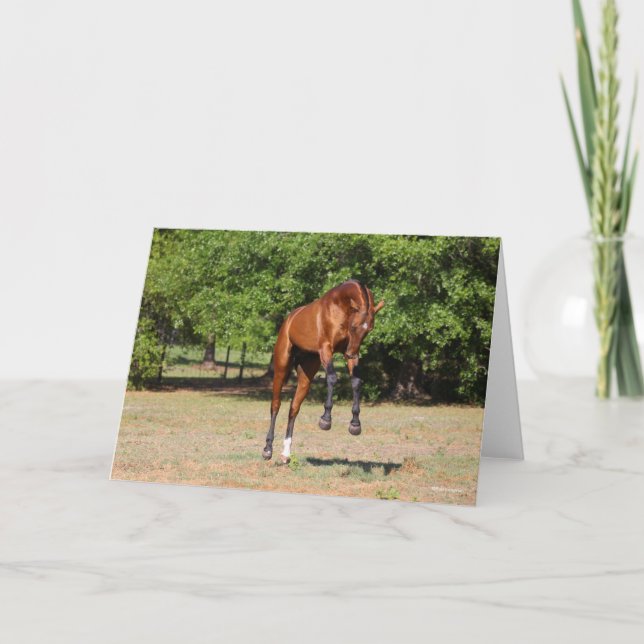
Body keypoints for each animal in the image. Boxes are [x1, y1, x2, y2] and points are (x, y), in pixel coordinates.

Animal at [262, 279, 384, 463]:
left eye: (369, 329)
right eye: (354, 326)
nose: (351, 354)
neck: (340, 306)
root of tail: (290, 319)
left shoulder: (350, 351)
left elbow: (356, 381)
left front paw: (355, 424)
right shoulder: (326, 349)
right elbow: (332, 378)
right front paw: (326, 419)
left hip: (307, 374)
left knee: (294, 408)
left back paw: (286, 453)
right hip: (281, 368)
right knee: (275, 405)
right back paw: (268, 449)